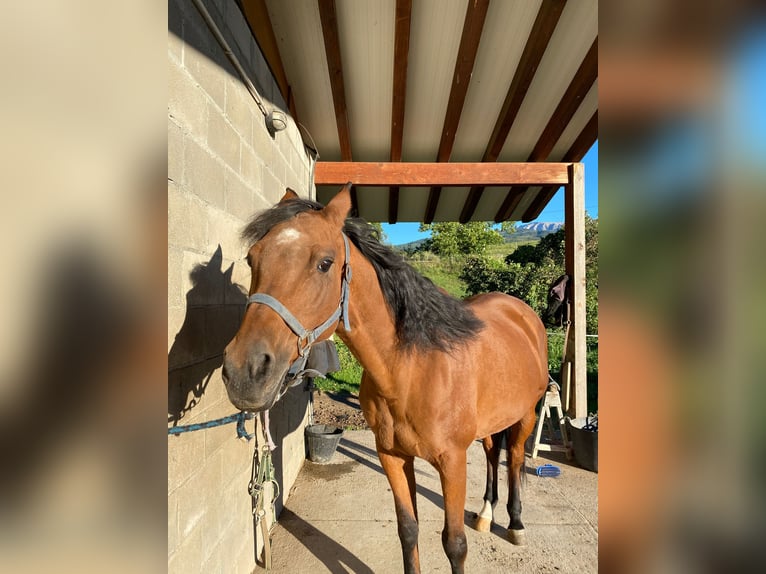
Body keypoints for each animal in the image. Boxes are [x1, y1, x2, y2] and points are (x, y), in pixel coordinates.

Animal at [224, 187, 552, 572]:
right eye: (252, 259)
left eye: (325, 263)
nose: (244, 372)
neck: (412, 371)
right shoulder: (392, 456)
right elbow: (408, 530)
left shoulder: (453, 464)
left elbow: (455, 544)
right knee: (491, 453)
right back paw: (486, 513)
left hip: (526, 415)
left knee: (513, 458)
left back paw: (515, 523)